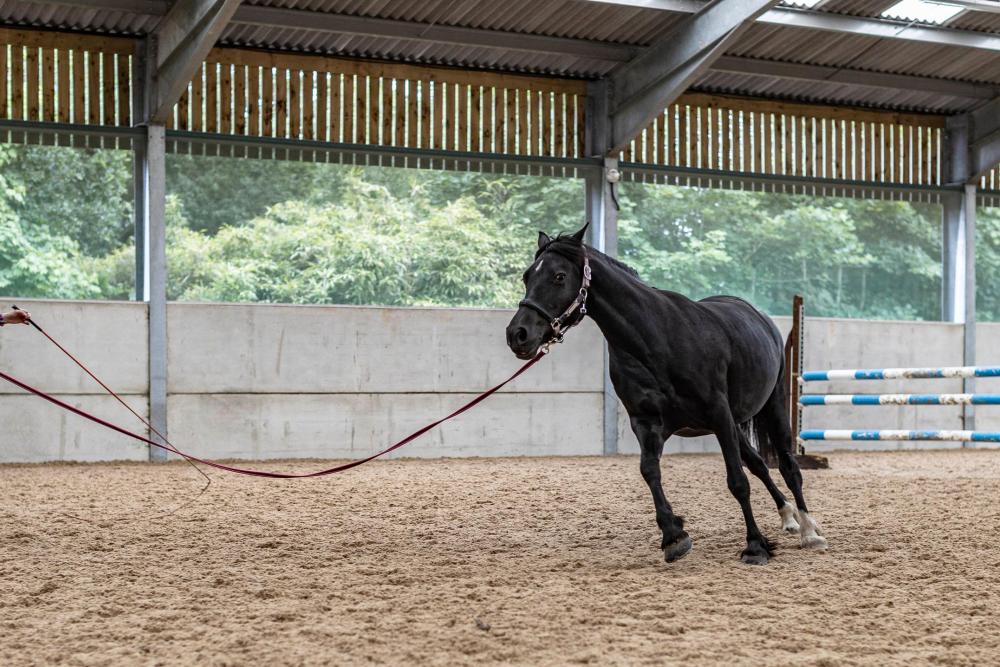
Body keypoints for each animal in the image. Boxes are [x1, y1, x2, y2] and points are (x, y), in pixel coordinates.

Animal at [505, 225, 827, 565]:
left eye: (559, 276)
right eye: (527, 276)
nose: (518, 334)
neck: (656, 340)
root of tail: (759, 316)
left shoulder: (718, 414)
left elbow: (737, 481)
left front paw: (755, 545)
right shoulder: (647, 423)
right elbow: (650, 472)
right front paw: (674, 535)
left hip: (772, 407)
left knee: (788, 466)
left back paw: (809, 531)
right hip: (735, 424)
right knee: (759, 464)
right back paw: (788, 516)